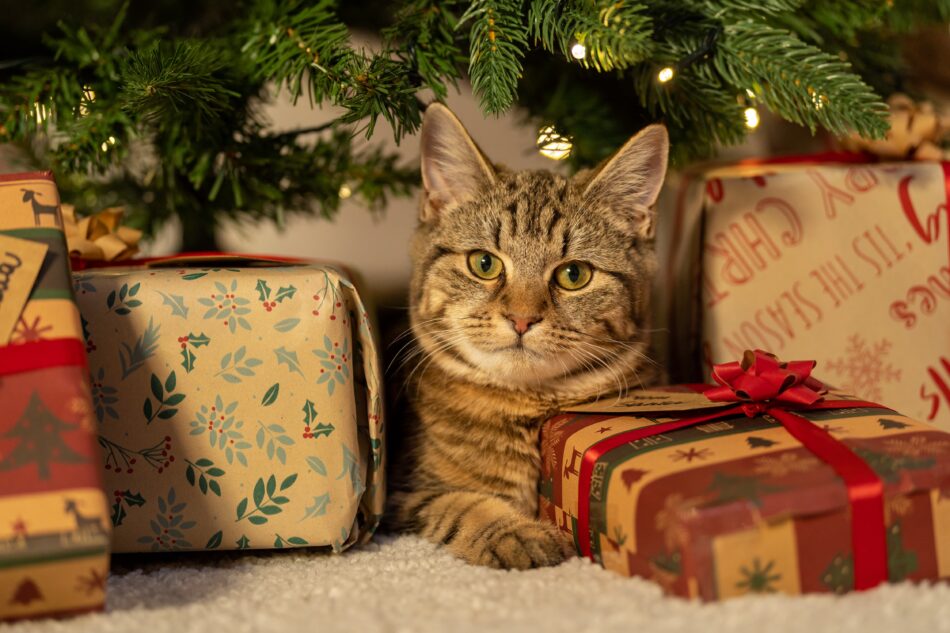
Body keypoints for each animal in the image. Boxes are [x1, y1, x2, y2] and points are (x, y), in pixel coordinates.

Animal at [390, 102, 672, 568]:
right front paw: (515, 533)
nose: (522, 319)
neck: (526, 404)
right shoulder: (406, 495)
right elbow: (462, 504)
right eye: (484, 263)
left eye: (574, 274)